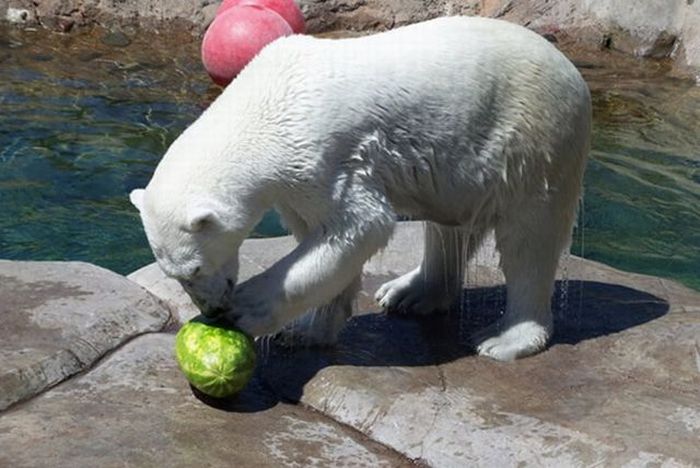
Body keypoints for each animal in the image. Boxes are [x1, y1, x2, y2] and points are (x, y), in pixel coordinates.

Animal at [130, 16, 592, 360]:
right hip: (467, 165)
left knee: (529, 240)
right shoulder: (295, 184)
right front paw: (306, 331)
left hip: (533, 140)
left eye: (194, 270)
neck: (267, 102)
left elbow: (358, 226)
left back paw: (504, 339)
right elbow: (321, 238)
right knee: (451, 228)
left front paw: (252, 308)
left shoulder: (323, 154)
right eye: (176, 276)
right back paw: (410, 293)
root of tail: (575, 74)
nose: (212, 309)